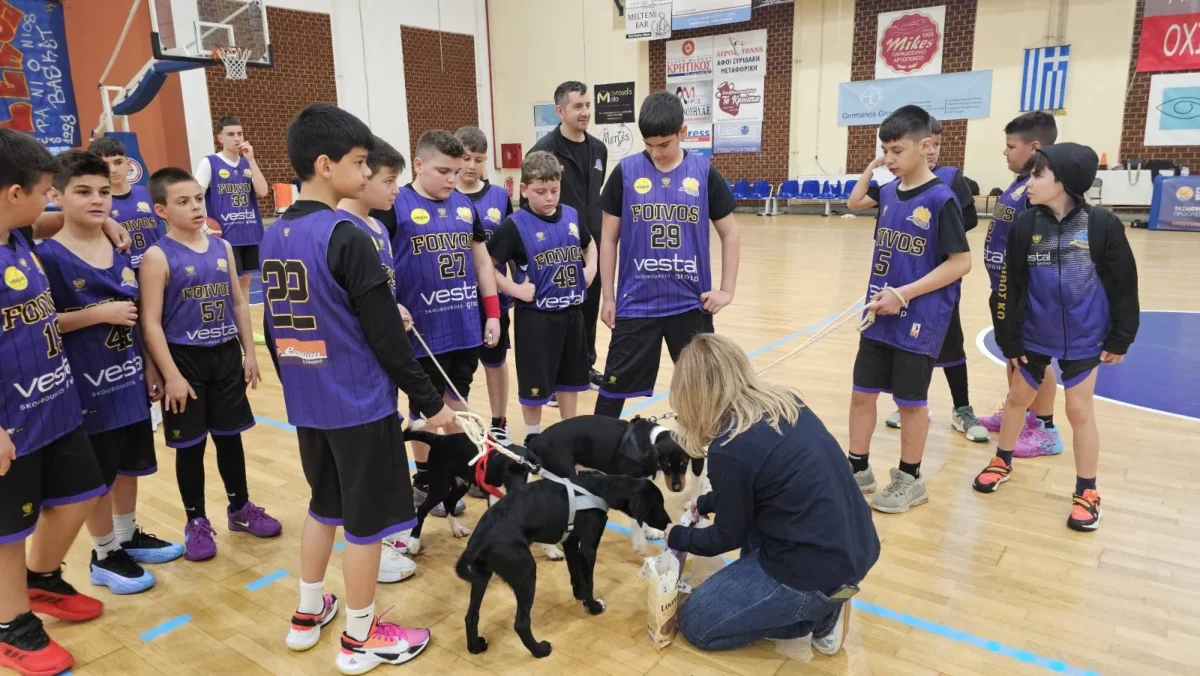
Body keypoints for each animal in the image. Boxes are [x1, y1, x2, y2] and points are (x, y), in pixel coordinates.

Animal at [398, 429, 537, 555]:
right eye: (506, 472)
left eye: (526, 470)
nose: (518, 489)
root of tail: (440, 438)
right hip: (441, 486)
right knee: (423, 509)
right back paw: (414, 542)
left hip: (461, 484)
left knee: (449, 503)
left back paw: (457, 529)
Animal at [455, 473, 670, 658]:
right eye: (657, 504)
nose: (668, 523)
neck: (601, 487)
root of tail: (480, 538)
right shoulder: (588, 548)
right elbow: (589, 582)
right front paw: (593, 606)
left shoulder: (570, 542)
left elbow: (576, 575)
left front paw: (580, 596)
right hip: (526, 573)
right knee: (521, 623)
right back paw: (539, 650)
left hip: (481, 576)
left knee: (471, 616)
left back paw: (475, 646)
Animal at [527, 415, 705, 553]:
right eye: (667, 464)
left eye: (684, 464)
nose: (677, 488)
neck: (648, 442)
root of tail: (536, 441)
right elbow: (636, 518)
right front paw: (640, 542)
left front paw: (650, 532)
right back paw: (551, 551)